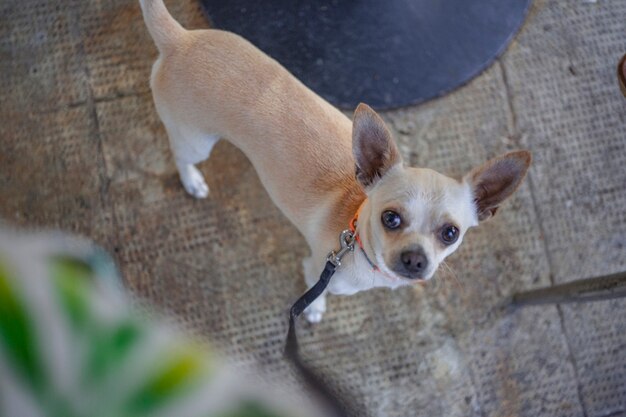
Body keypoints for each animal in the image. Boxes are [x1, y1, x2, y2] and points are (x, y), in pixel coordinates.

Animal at [139, 0, 528, 322]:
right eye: (390, 218)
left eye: (450, 233)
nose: (416, 259)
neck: (355, 230)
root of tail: (180, 39)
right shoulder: (315, 270)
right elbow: (314, 295)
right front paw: (313, 311)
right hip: (195, 142)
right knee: (181, 157)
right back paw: (192, 181)